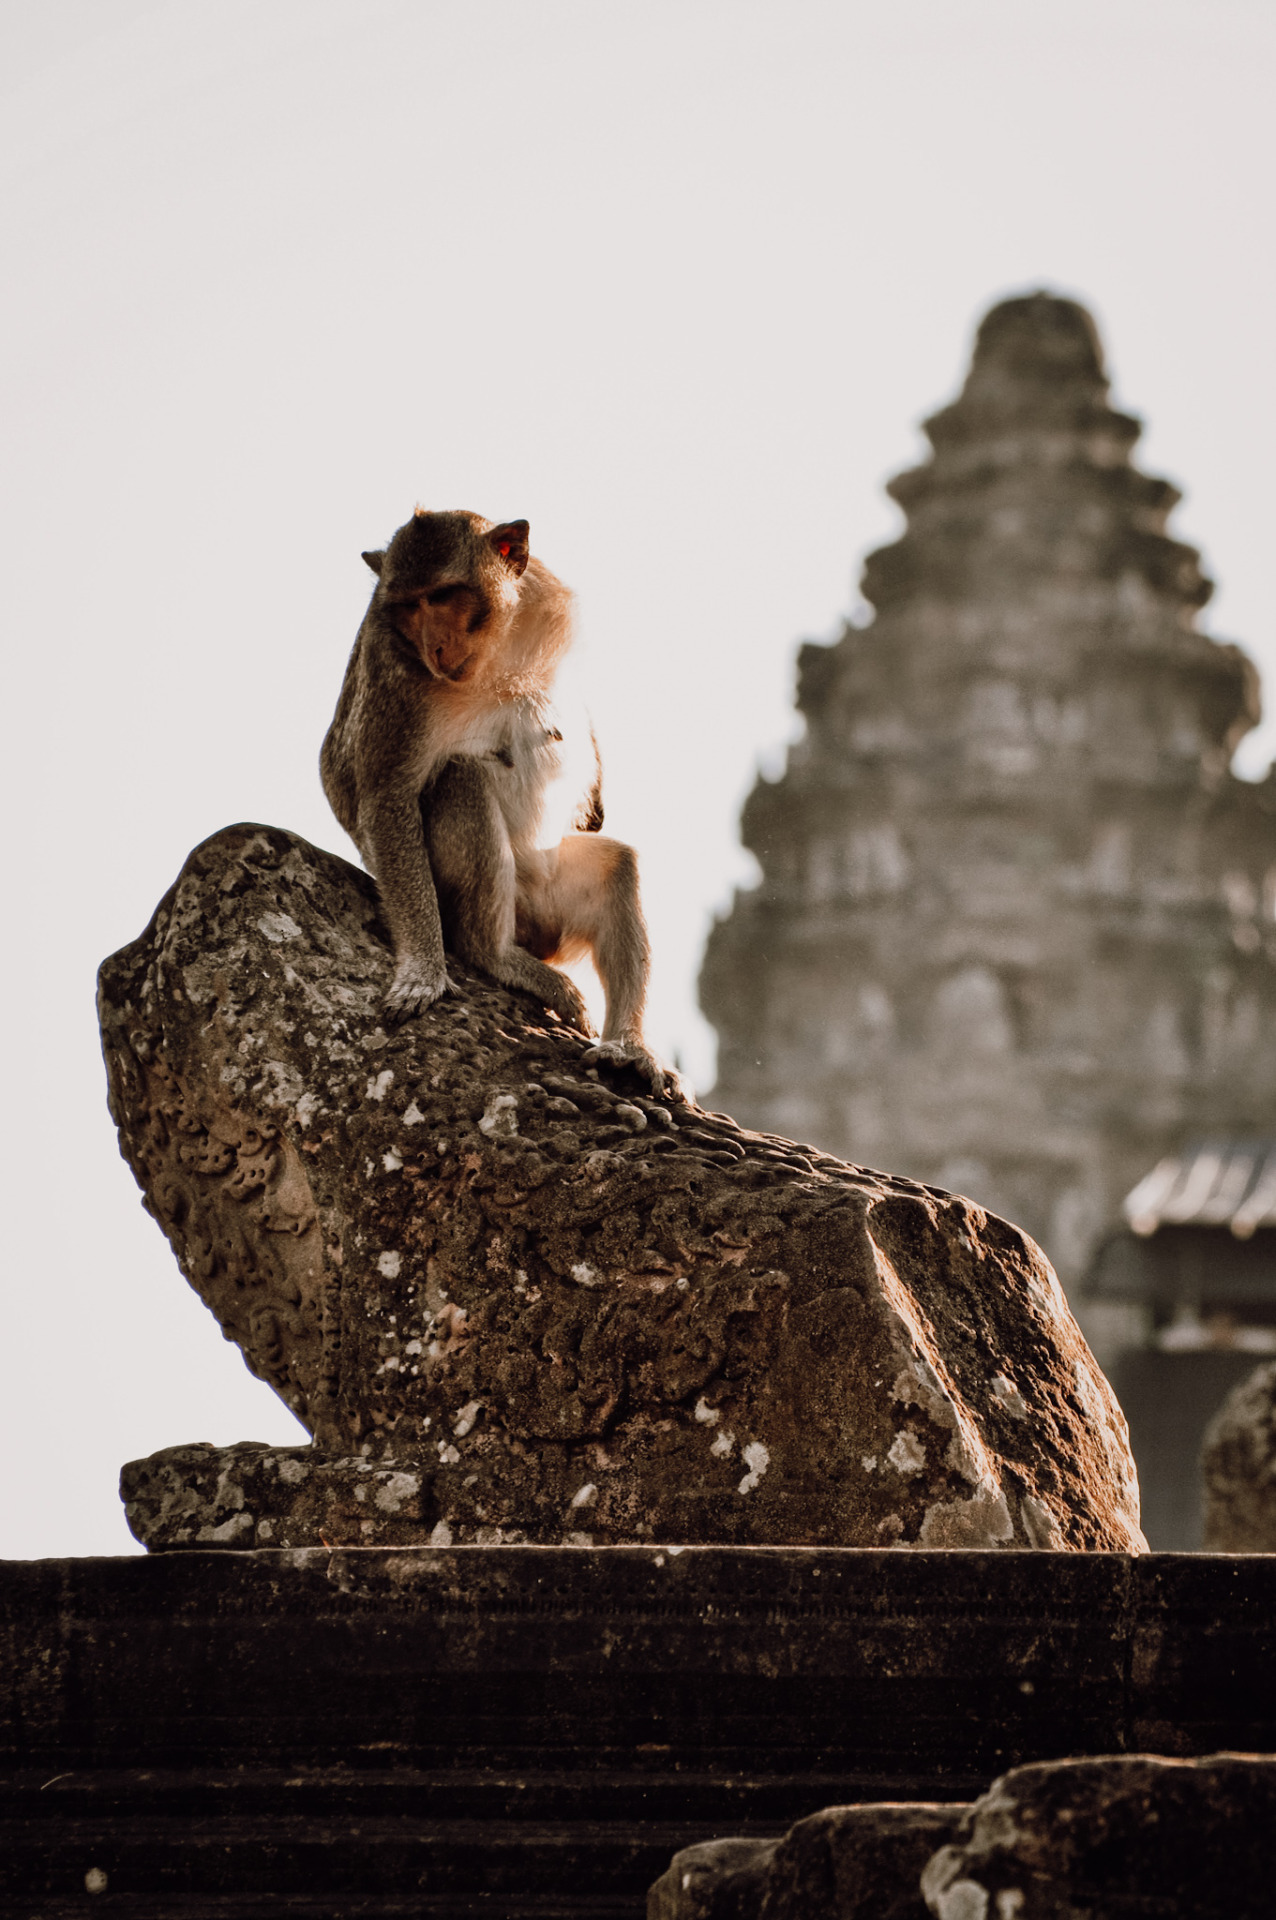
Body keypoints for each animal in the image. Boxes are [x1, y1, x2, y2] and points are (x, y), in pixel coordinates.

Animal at [321, 508, 682, 1099]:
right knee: (462, 777)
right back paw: (493, 954)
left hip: (546, 898)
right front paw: (423, 968)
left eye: (443, 595)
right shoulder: (390, 668)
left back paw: (628, 1051)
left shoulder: (551, 601)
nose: (433, 646)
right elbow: (372, 791)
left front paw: (595, 801)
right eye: (408, 606)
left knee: (617, 867)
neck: (494, 650)